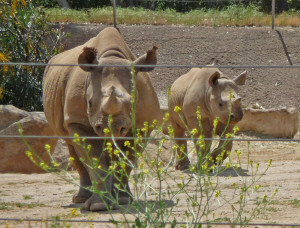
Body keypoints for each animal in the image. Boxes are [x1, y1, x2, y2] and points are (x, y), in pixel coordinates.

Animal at [43, 27, 161, 211]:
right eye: (90, 103)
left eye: (132, 103)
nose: (110, 129)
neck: (113, 57)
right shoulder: (77, 122)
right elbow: (94, 161)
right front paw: (100, 206)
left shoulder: (142, 126)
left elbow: (126, 161)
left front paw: (122, 201)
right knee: (72, 146)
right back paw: (80, 199)